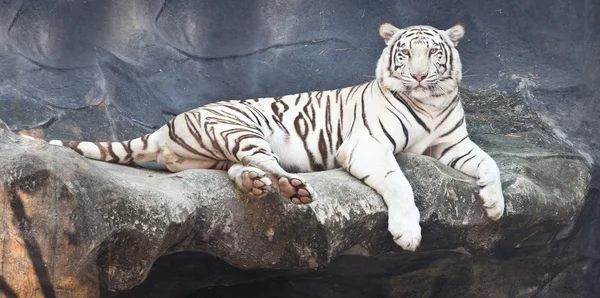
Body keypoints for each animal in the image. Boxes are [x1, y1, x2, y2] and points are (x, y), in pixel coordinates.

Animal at [49, 23, 504, 250]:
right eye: (406, 54)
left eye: (434, 54)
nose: (419, 76)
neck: (431, 102)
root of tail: (167, 124)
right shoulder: (367, 146)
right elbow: (400, 183)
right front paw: (408, 233)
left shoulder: (454, 144)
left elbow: (490, 163)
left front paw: (495, 205)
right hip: (240, 127)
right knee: (268, 162)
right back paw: (293, 188)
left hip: (216, 152)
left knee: (241, 168)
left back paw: (255, 184)